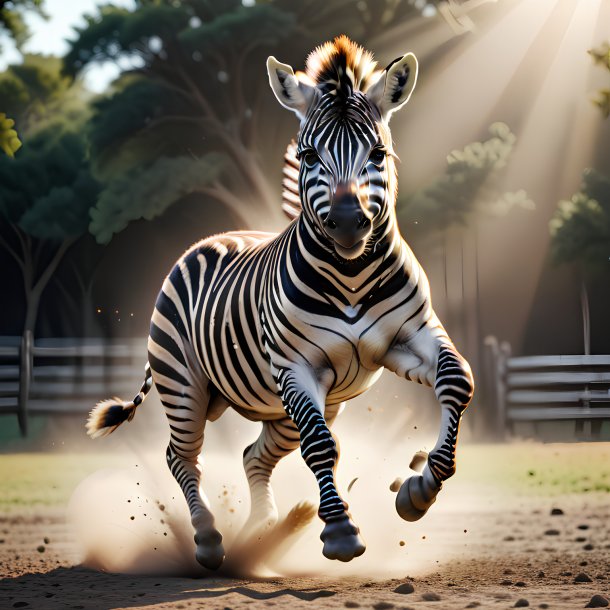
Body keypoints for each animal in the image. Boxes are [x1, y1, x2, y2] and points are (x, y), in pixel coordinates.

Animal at [88, 35, 472, 568]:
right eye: (309, 156)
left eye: (378, 153)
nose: (348, 222)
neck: (351, 275)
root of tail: (214, 238)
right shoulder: (296, 365)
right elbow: (322, 446)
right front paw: (339, 531)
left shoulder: (409, 337)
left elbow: (458, 380)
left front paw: (419, 489)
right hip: (185, 383)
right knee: (181, 456)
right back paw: (209, 538)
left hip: (282, 407)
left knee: (253, 455)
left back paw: (262, 531)